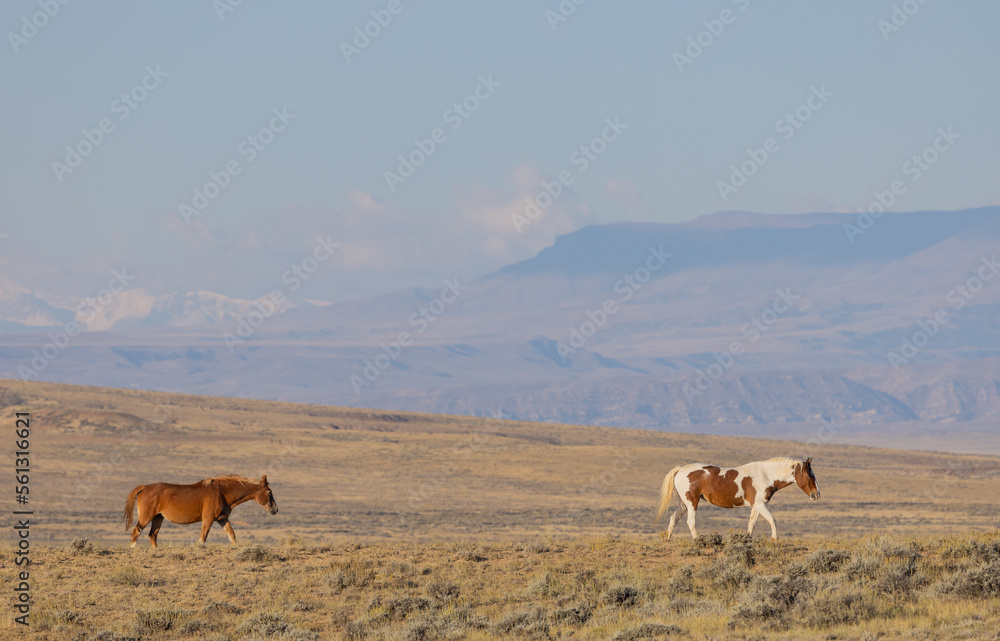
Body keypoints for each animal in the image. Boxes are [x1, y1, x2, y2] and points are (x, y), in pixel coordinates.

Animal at [122, 472, 278, 548]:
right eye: (270, 492)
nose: (275, 510)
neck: (221, 492)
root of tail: (145, 487)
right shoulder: (208, 519)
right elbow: (203, 538)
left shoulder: (222, 519)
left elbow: (232, 535)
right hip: (146, 517)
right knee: (136, 532)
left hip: (158, 517)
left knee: (152, 535)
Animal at [656, 456, 820, 540]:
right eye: (810, 475)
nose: (817, 495)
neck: (766, 475)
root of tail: (680, 469)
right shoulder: (760, 505)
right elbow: (772, 520)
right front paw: (775, 539)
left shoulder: (756, 506)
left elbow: (751, 524)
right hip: (692, 502)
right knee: (690, 522)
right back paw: (697, 540)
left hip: (684, 503)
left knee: (673, 518)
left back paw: (668, 539)